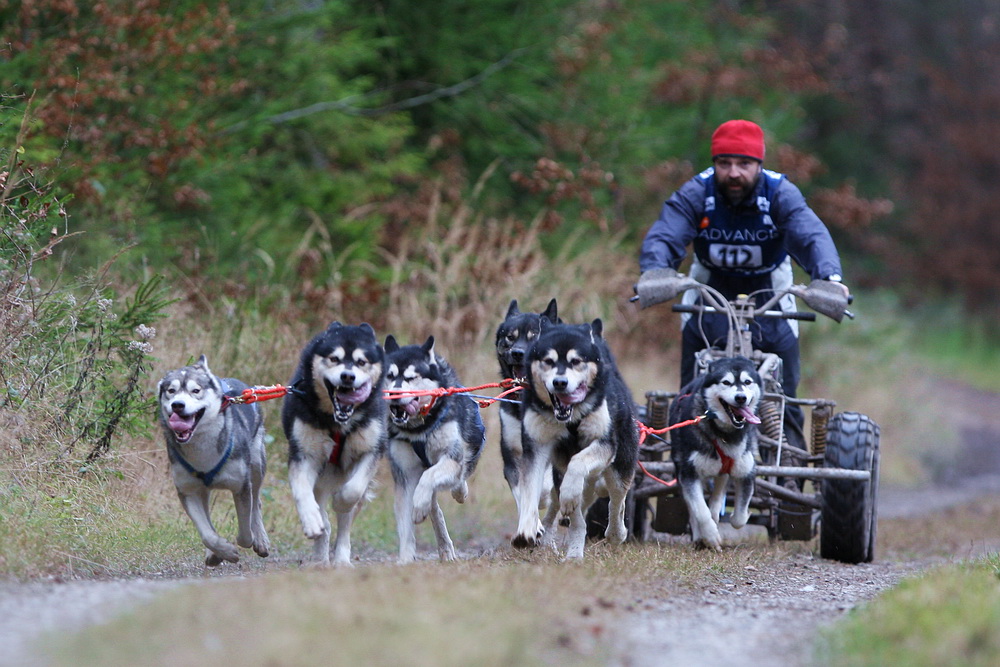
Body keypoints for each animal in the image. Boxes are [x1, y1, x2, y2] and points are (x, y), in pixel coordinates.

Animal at [155, 358, 268, 568]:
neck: (202, 451)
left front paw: (244, 542)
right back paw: (214, 553)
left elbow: (244, 533)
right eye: (171, 391)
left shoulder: (241, 485)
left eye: (196, 390)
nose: (177, 405)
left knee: (256, 501)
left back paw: (261, 539)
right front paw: (223, 550)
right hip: (202, 489)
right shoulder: (187, 490)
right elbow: (207, 533)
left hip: (257, 466)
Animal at [286, 324, 390, 568]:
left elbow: (353, 491)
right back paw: (320, 556)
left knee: (345, 524)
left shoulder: (370, 451)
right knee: (324, 516)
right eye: (334, 358)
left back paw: (341, 560)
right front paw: (312, 521)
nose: (348, 376)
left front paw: (341, 501)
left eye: (361, 362)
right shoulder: (303, 455)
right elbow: (302, 492)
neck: (337, 423)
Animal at [384, 336, 486, 560]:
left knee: (454, 479)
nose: (394, 393)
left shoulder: (451, 458)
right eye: (390, 376)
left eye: (411, 377)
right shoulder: (404, 475)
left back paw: (457, 493)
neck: (420, 428)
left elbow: (430, 478)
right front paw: (405, 559)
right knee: (434, 508)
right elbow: (405, 526)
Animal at [512, 318, 636, 560]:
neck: (570, 419)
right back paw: (574, 551)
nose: (560, 382)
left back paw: (616, 533)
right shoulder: (536, 447)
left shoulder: (604, 444)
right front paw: (527, 530)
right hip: (561, 469)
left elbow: (578, 463)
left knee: (617, 500)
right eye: (548, 361)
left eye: (576, 361)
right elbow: (530, 490)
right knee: (575, 515)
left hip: (621, 465)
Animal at [668, 358, 760, 552]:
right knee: (694, 509)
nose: (741, 397)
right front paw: (710, 537)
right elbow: (700, 512)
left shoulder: (746, 472)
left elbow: (739, 518)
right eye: (726, 382)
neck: (725, 434)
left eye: (747, 382)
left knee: (719, 490)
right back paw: (699, 536)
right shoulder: (689, 474)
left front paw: (736, 516)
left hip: (722, 471)